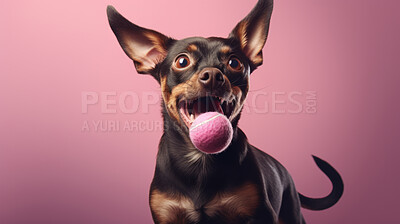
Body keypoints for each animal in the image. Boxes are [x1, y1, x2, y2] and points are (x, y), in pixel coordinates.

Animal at [107, 0, 344, 223]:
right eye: (182, 61)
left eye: (234, 62)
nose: (212, 75)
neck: (200, 159)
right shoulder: (167, 214)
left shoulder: (260, 214)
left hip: (292, 212)